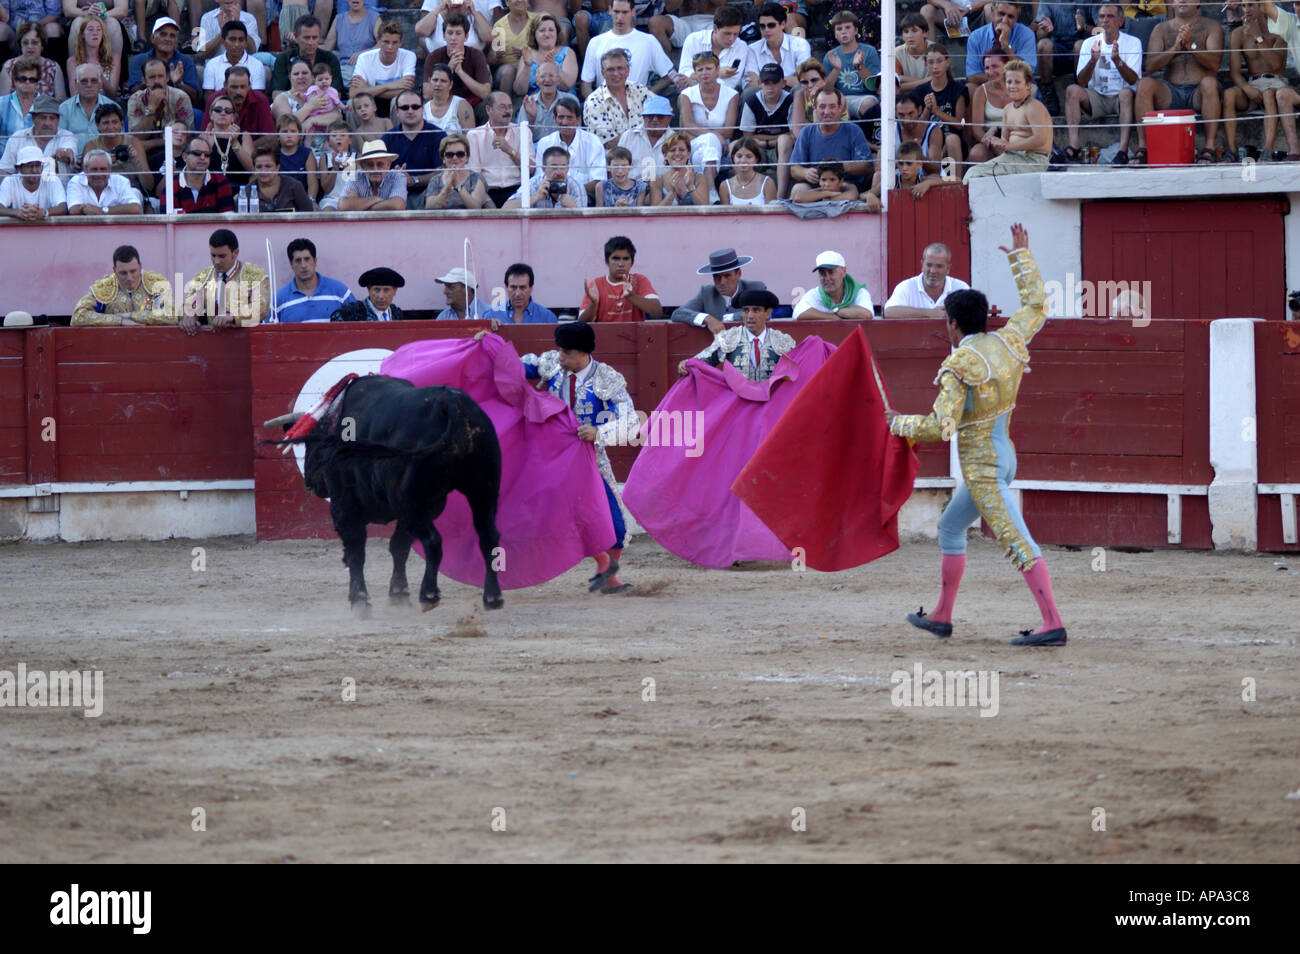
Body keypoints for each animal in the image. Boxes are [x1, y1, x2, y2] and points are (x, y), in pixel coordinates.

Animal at [266, 374, 504, 613]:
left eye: (309, 443)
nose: (310, 481)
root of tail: (452, 403)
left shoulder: (344, 505)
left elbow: (356, 551)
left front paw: (360, 600)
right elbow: (399, 546)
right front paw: (398, 593)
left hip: (411, 501)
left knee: (433, 540)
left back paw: (429, 594)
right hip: (483, 491)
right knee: (488, 537)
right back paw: (492, 597)